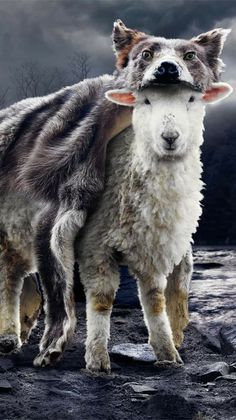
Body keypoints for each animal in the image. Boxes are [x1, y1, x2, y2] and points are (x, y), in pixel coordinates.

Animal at [0, 20, 230, 360]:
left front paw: (169, 350)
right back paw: (11, 336)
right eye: (144, 54)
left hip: (16, 235)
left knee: (13, 272)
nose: (167, 69)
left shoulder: (157, 244)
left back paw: (15, 333)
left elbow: (160, 295)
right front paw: (72, 352)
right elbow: (81, 290)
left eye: (191, 55)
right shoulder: (79, 231)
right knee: (10, 276)